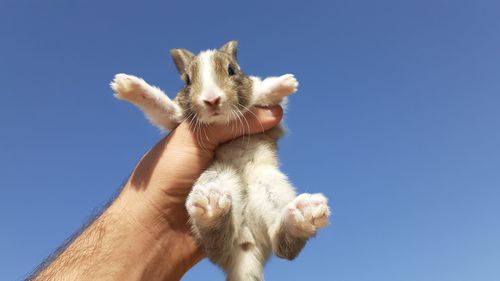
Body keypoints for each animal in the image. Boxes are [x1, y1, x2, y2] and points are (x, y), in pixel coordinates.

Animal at [110, 40, 330, 278]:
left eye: (231, 70)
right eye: (187, 80)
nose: (212, 100)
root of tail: (247, 250)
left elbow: (259, 94)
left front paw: (286, 83)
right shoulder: (175, 118)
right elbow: (161, 106)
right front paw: (125, 85)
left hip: (268, 184)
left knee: (283, 245)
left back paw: (305, 213)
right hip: (217, 177)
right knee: (221, 241)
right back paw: (211, 208)